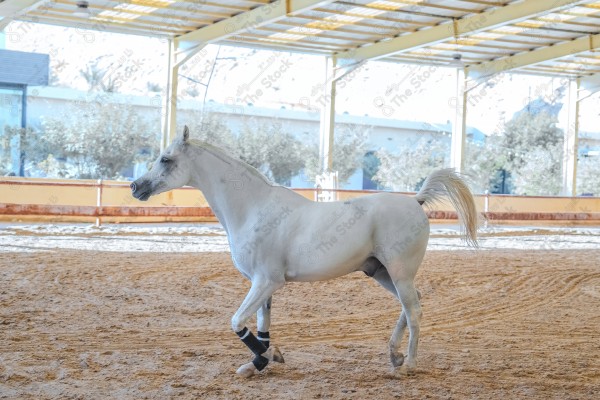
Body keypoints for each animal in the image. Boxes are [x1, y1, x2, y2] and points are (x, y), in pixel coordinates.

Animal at [131, 126, 478, 378]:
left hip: (398, 272)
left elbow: (237, 322)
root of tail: (416, 200)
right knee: (409, 307)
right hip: (381, 272)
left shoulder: (266, 281)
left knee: (414, 310)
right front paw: (257, 364)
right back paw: (393, 356)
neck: (254, 207)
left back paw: (409, 365)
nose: (136, 187)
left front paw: (270, 357)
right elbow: (261, 327)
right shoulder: (263, 285)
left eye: (165, 159)